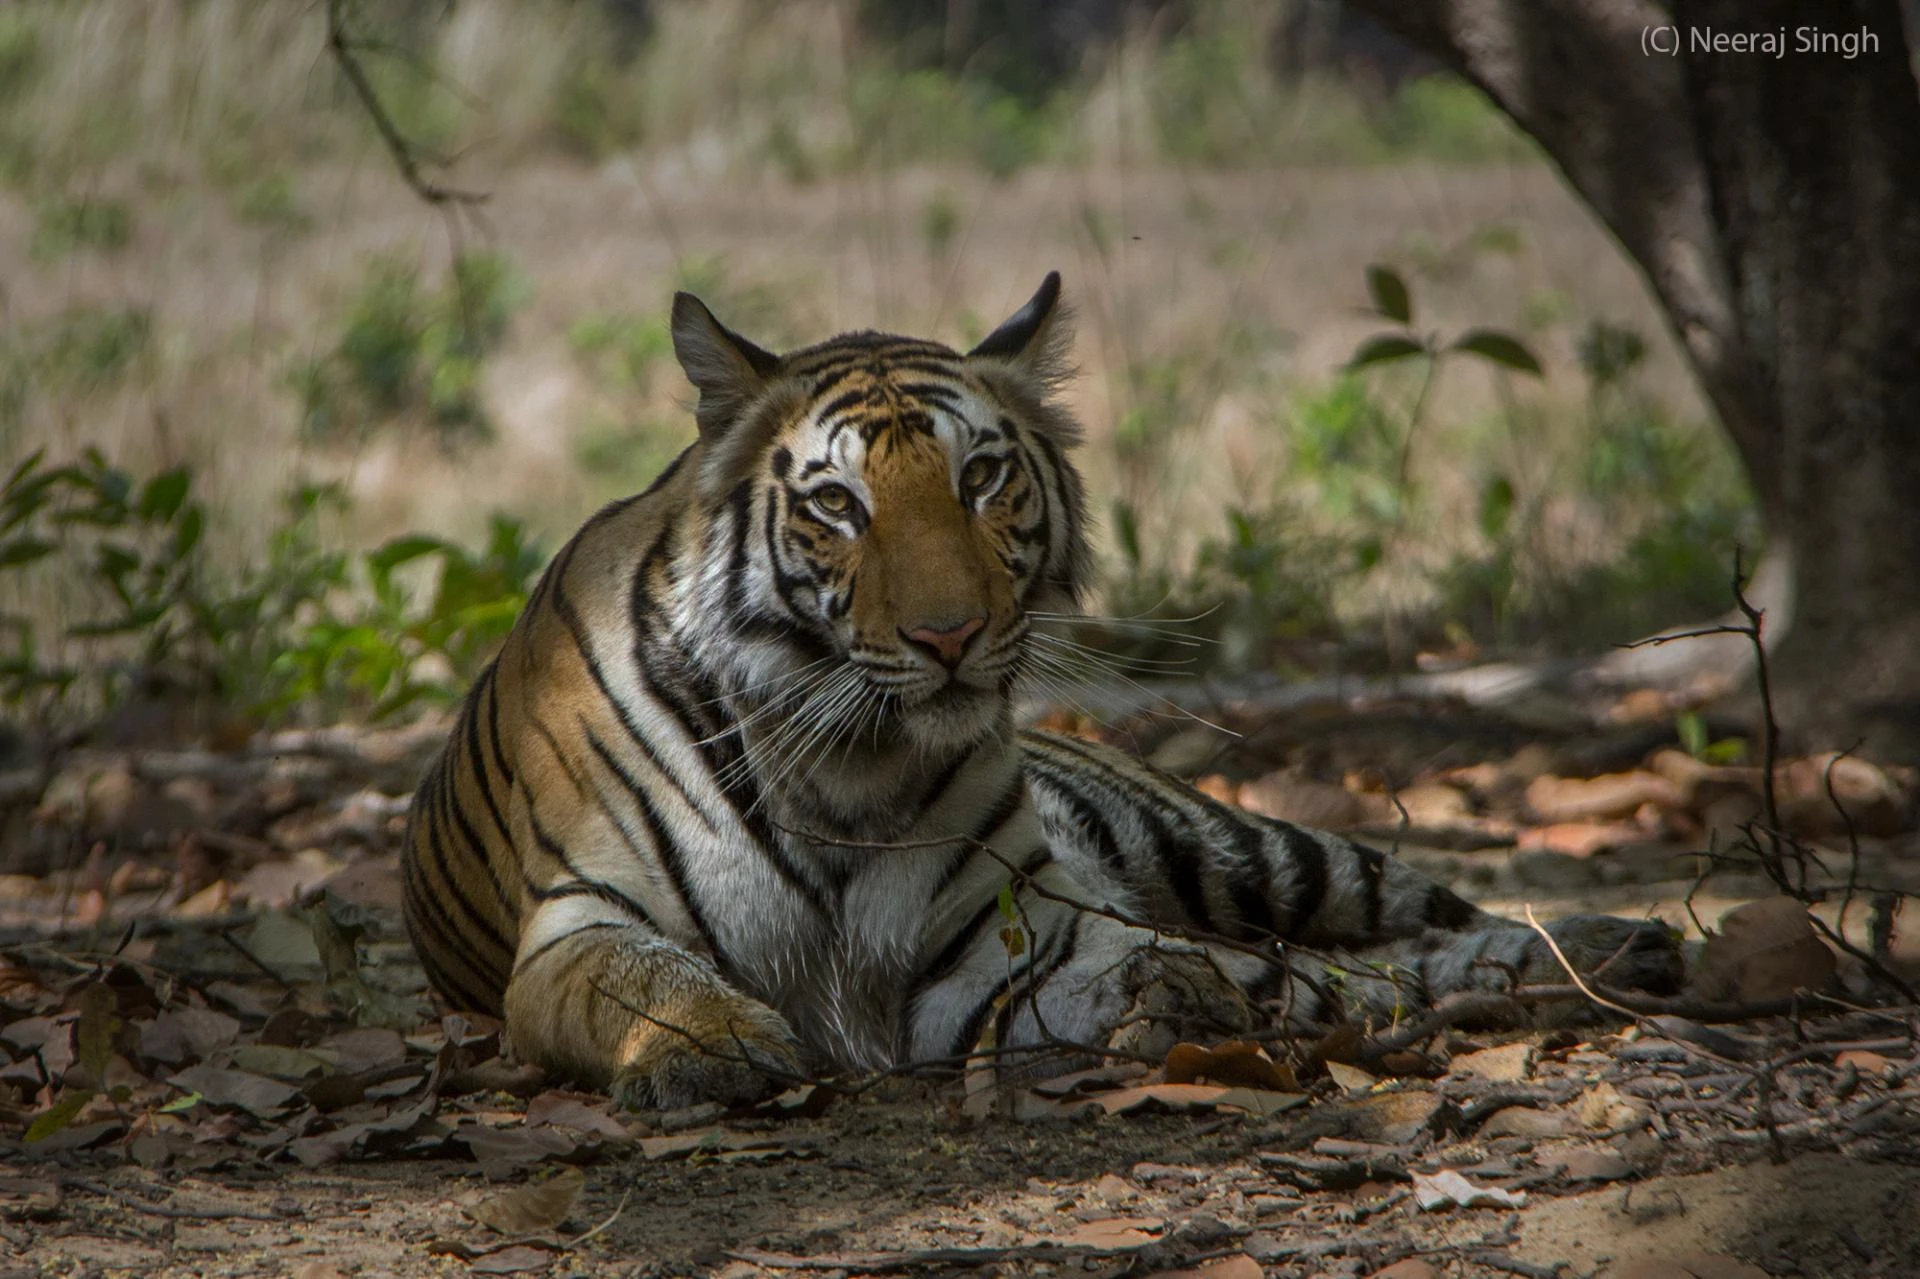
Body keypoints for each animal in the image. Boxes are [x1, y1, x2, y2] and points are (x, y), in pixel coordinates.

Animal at [401, 273, 1682, 1108]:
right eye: (837, 505)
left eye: (980, 478)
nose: (950, 634)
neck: (845, 765)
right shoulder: (576, 924)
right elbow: (644, 977)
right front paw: (712, 1044)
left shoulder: (1006, 950)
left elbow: (1215, 970)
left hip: (1240, 846)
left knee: (1425, 917)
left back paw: (1610, 946)